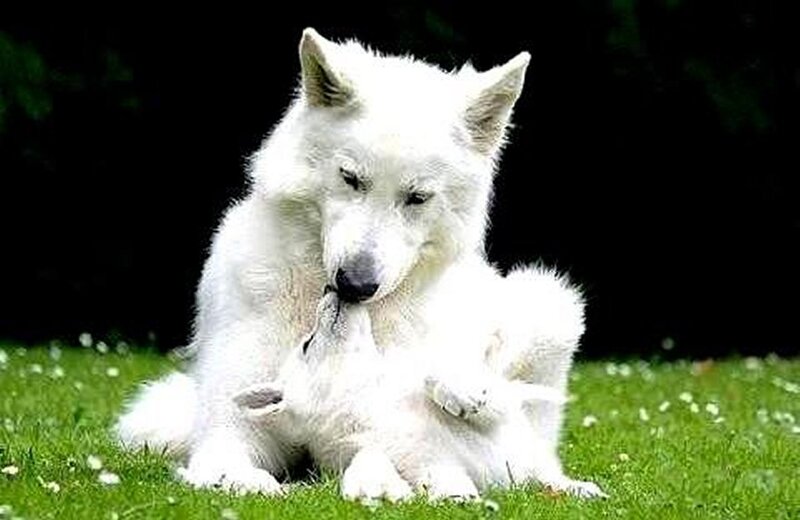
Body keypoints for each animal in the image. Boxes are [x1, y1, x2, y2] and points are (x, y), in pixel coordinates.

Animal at [116, 28, 604, 499]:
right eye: (350, 179)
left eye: (417, 197)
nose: (353, 285)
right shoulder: (229, 425)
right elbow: (226, 464)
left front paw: (461, 384)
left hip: (548, 306)